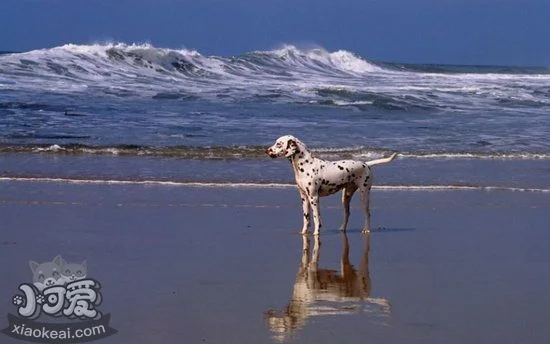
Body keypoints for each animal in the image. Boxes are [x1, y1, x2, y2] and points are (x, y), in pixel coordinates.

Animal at [266, 136, 398, 235]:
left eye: (278, 144)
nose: (267, 150)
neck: (306, 165)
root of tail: (366, 164)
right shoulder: (304, 198)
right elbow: (306, 218)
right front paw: (304, 233)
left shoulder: (314, 198)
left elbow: (316, 218)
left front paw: (316, 233)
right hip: (345, 197)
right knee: (347, 214)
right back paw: (342, 229)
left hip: (364, 196)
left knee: (368, 214)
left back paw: (366, 229)